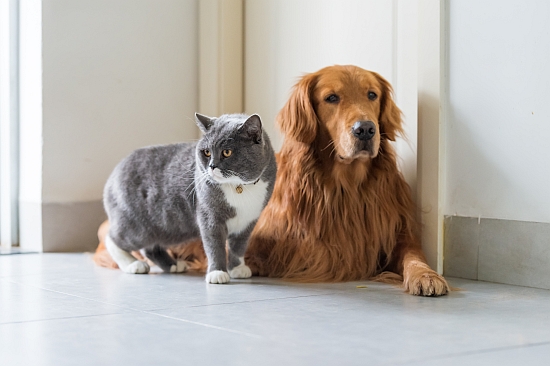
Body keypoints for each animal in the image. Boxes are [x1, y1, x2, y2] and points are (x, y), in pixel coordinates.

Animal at [103, 113, 278, 284]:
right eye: (206, 152)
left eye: (227, 152)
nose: (211, 166)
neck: (238, 187)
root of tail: (113, 174)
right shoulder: (210, 217)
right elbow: (215, 246)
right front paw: (217, 273)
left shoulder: (248, 221)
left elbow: (239, 247)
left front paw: (238, 268)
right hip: (138, 226)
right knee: (113, 238)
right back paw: (133, 264)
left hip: (166, 229)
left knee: (150, 248)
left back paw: (173, 265)